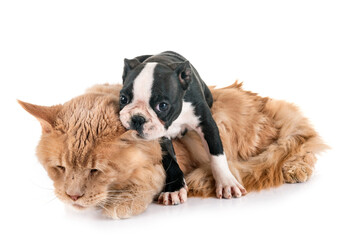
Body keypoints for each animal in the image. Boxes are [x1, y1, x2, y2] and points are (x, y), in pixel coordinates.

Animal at [18, 81, 326, 218]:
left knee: (301, 144)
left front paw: (120, 204)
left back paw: (295, 169)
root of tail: (266, 103)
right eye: (59, 168)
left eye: (96, 170)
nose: (73, 196)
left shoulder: (163, 160)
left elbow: (147, 180)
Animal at [119, 50, 246, 204]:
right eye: (123, 99)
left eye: (163, 105)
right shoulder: (161, 137)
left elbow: (216, 152)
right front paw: (174, 189)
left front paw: (227, 182)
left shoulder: (207, 124)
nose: (137, 118)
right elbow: (170, 161)